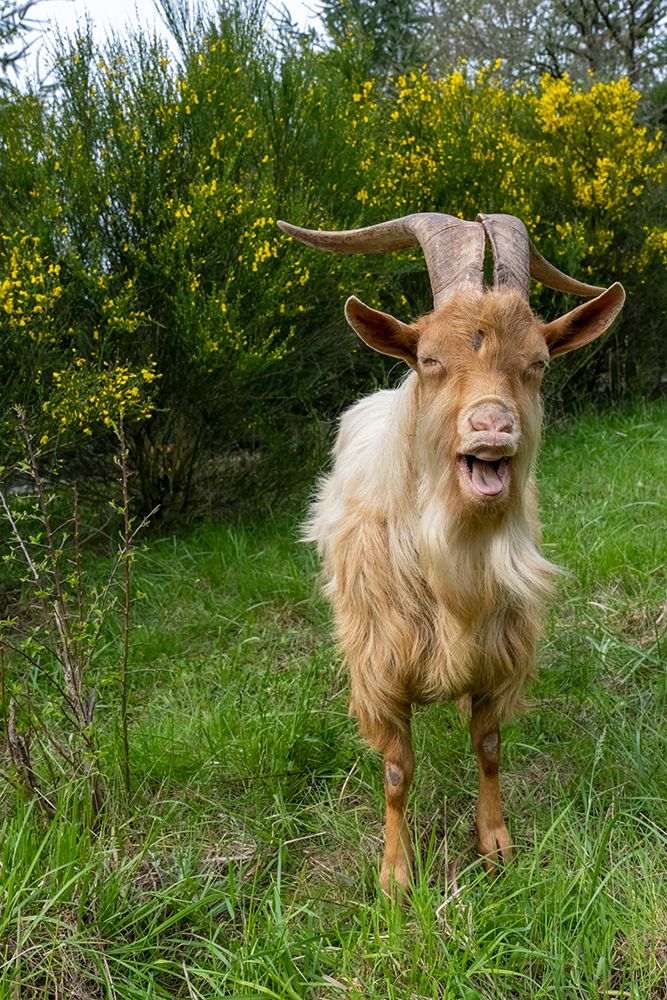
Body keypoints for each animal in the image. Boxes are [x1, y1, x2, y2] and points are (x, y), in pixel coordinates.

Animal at [278, 212, 624, 893]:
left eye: (538, 363)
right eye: (431, 359)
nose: (493, 426)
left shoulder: (501, 654)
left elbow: (489, 747)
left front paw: (495, 844)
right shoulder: (380, 666)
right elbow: (396, 771)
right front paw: (395, 874)